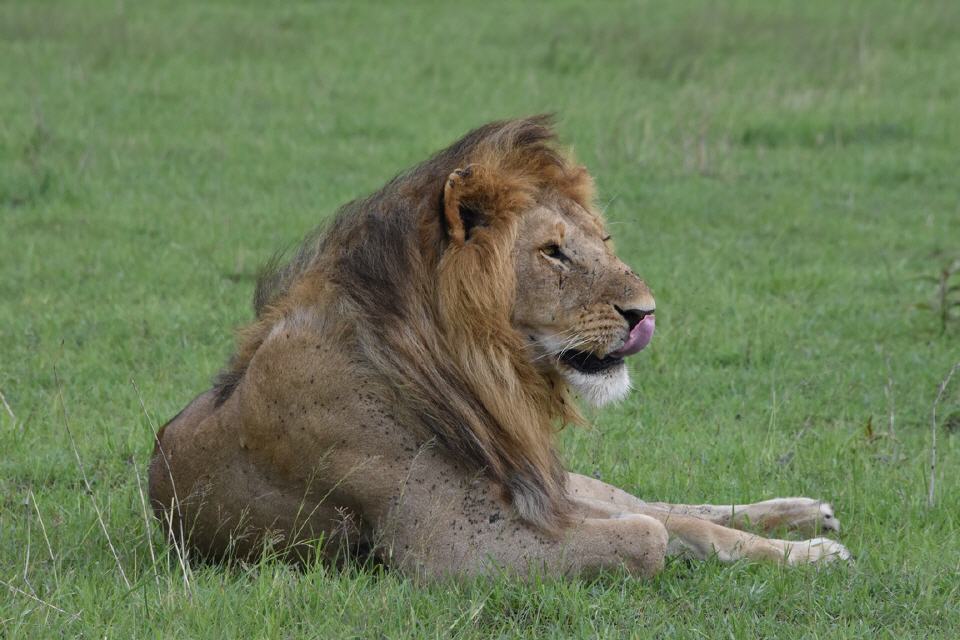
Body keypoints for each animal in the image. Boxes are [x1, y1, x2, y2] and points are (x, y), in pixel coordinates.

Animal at [150, 116, 848, 580]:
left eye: (603, 240)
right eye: (553, 251)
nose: (645, 313)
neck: (477, 369)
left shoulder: (529, 493)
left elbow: (663, 523)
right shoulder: (448, 547)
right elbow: (650, 536)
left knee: (662, 504)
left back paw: (807, 522)